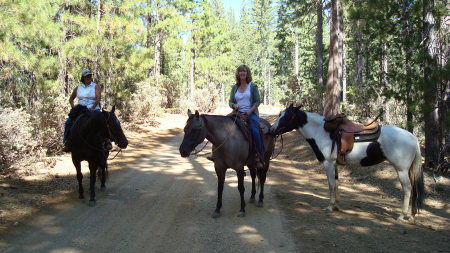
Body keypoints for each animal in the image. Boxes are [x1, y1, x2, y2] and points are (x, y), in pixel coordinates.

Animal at [268, 104, 424, 220]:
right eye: (280, 114)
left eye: (287, 116)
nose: (271, 130)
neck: (321, 133)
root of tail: (413, 137)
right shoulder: (335, 164)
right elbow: (336, 183)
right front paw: (337, 204)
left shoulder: (328, 163)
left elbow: (331, 184)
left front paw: (331, 206)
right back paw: (410, 215)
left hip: (401, 170)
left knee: (408, 189)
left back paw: (402, 215)